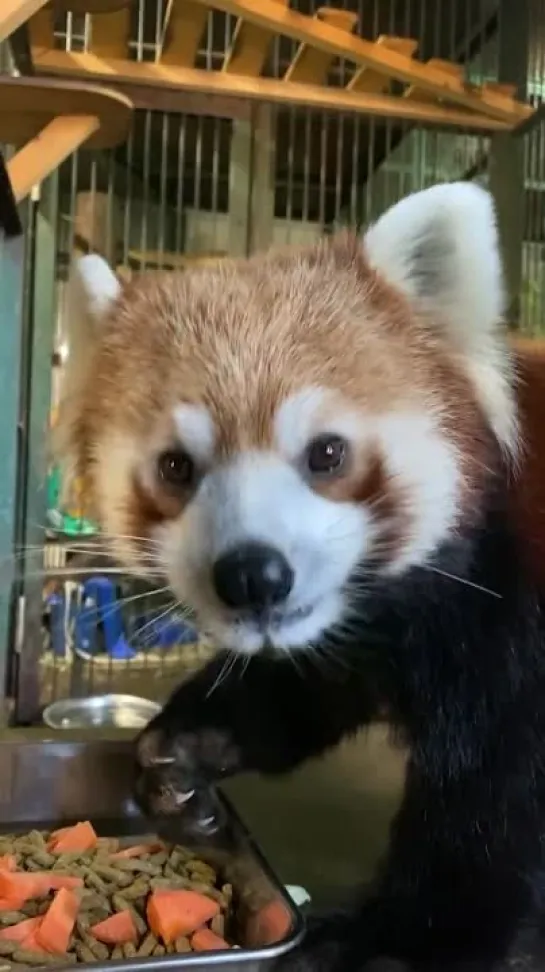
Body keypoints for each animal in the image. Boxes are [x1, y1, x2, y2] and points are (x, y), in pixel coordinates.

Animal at [57, 184, 544, 972]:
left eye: (327, 453)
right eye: (175, 467)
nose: (253, 575)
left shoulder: (510, 618)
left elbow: (495, 795)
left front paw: (402, 942)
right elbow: (312, 679)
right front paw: (184, 745)